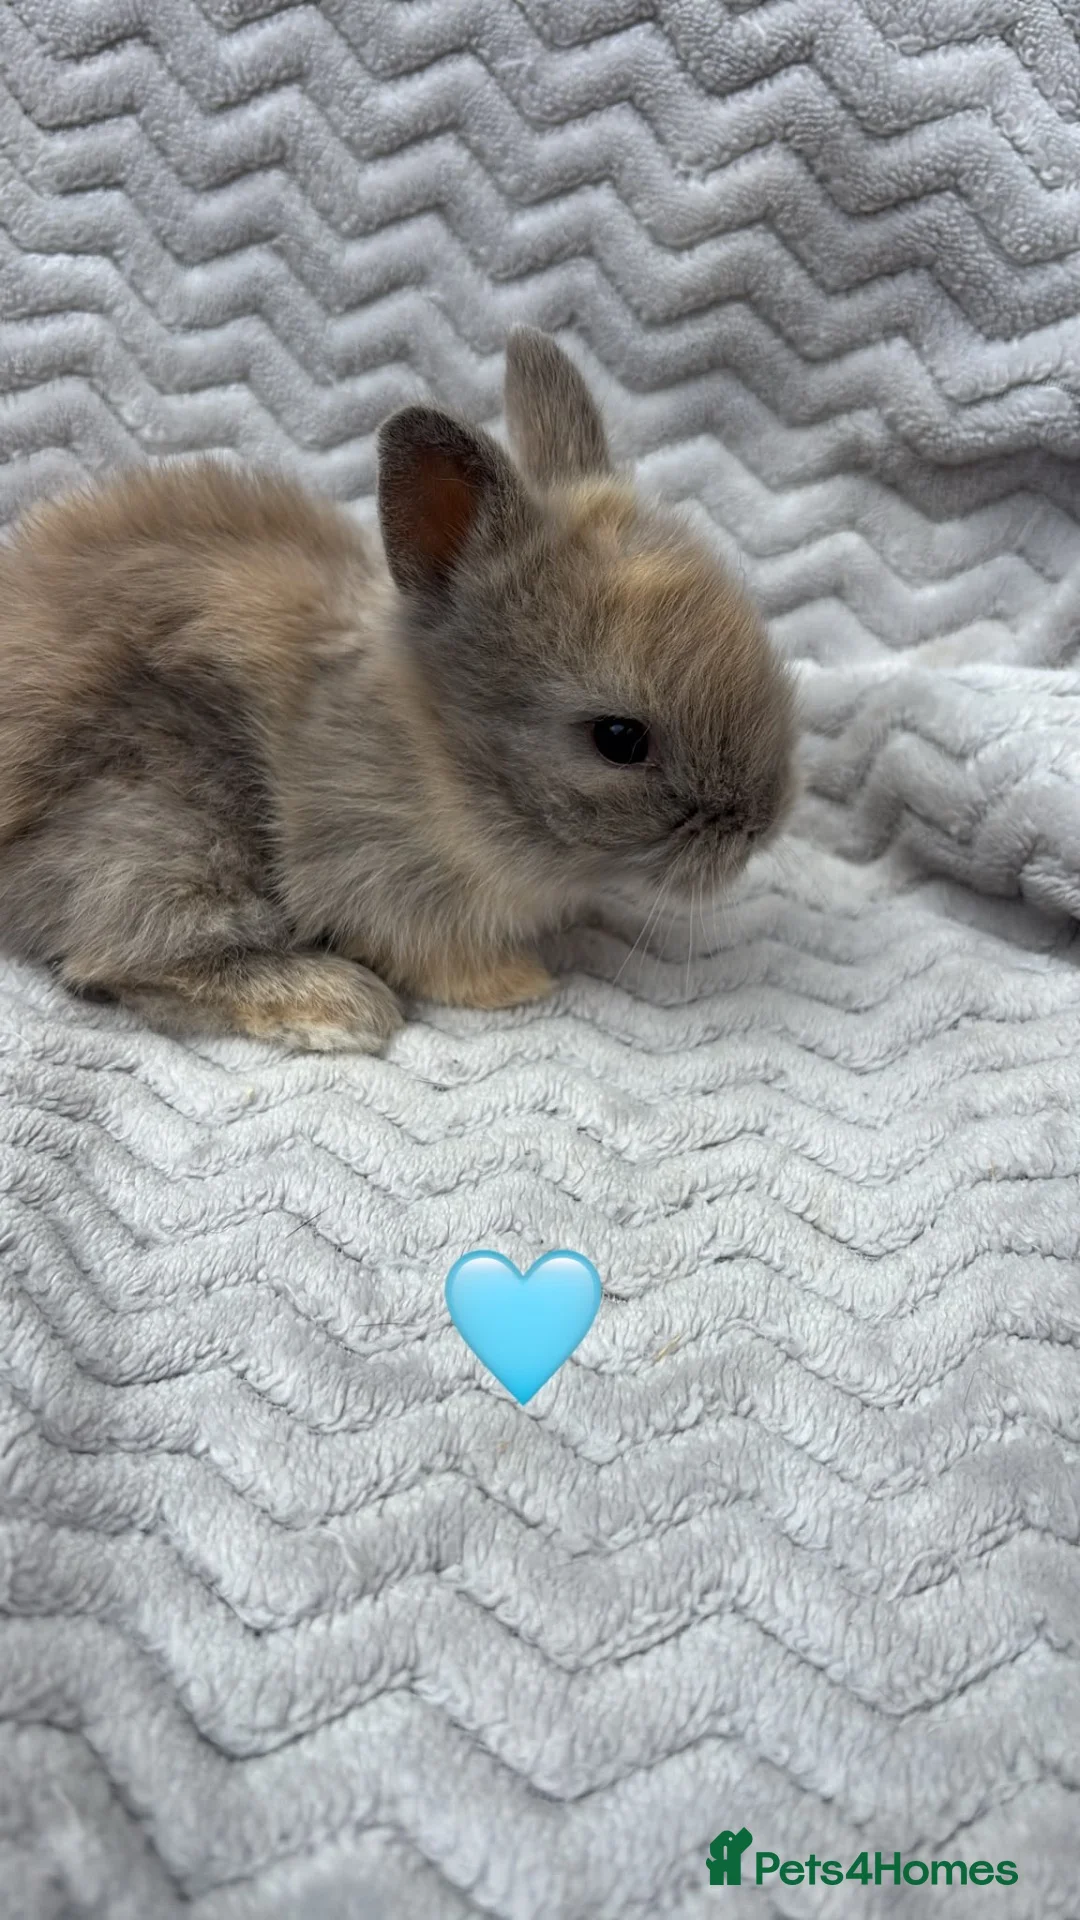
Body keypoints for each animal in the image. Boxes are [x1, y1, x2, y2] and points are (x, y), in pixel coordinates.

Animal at [0, 329, 796, 1052]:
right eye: (619, 739)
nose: (760, 826)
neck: (441, 760)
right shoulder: (384, 878)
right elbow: (434, 955)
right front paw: (518, 984)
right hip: (170, 832)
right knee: (125, 957)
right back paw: (343, 1007)